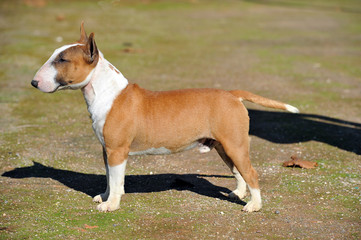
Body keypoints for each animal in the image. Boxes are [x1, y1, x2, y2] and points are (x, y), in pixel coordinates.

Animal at [31, 23, 298, 212]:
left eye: (62, 60)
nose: (33, 82)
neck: (106, 91)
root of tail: (232, 94)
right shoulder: (107, 150)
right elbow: (108, 179)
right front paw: (104, 197)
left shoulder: (118, 151)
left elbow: (116, 181)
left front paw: (111, 205)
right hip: (224, 146)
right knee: (238, 172)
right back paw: (239, 193)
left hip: (235, 144)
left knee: (250, 172)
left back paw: (254, 205)